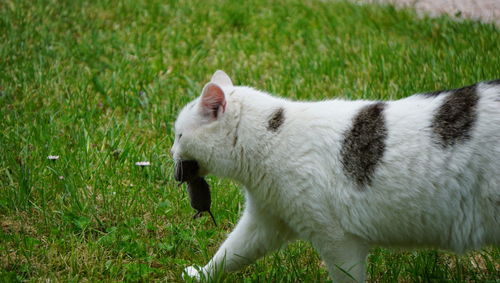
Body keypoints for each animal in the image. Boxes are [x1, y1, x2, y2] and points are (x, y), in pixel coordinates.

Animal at [173, 70, 500, 282]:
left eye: (178, 135)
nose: (170, 151)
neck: (271, 139)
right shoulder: (265, 221)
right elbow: (230, 253)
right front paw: (202, 275)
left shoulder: (336, 239)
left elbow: (346, 276)